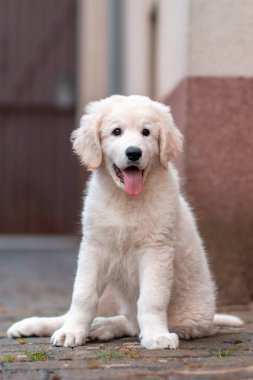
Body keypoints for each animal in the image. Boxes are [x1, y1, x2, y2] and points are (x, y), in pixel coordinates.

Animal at [6, 95, 242, 350]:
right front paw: (71, 332)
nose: (133, 153)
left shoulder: (156, 249)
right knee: (106, 315)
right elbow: (82, 296)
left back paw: (103, 327)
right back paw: (38, 325)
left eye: (146, 132)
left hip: (187, 318)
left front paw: (157, 335)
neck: (126, 200)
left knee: (132, 323)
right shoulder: (94, 247)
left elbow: (151, 299)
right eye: (116, 131)